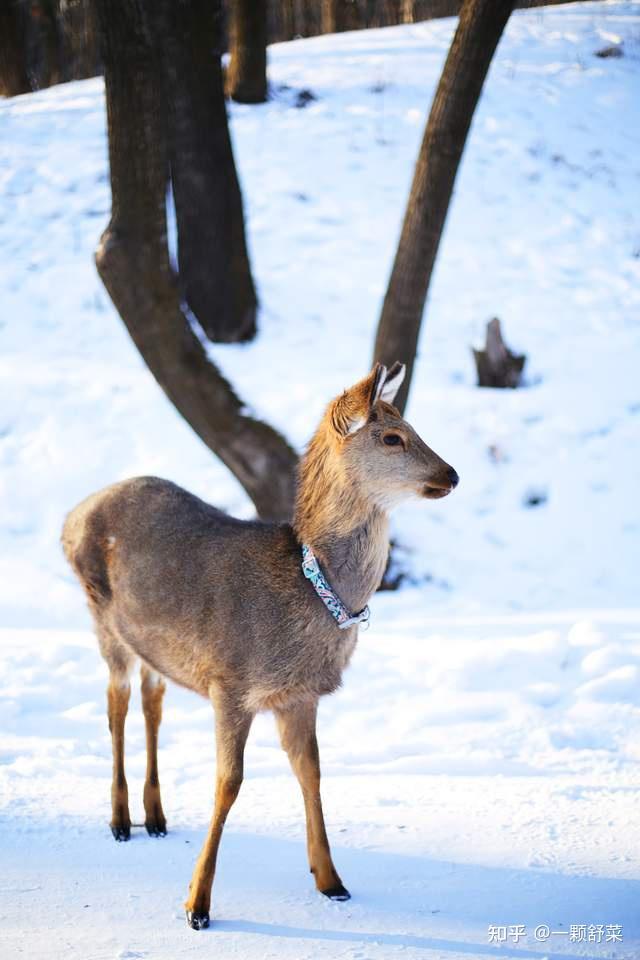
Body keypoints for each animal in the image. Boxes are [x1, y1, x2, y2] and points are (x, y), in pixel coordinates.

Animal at [62, 362, 458, 928]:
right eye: (392, 436)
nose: (451, 474)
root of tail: (70, 517)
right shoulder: (230, 681)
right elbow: (229, 783)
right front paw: (196, 904)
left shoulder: (300, 696)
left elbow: (312, 773)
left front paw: (331, 880)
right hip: (101, 615)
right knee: (115, 700)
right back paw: (119, 820)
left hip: (151, 644)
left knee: (152, 698)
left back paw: (155, 817)